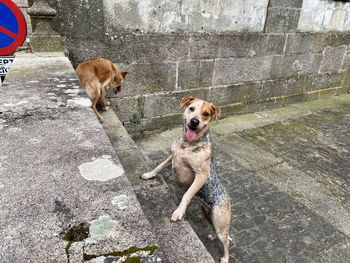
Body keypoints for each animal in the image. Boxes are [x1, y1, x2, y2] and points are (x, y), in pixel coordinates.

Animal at [141, 97, 231, 263]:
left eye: (206, 114)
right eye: (191, 108)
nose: (195, 121)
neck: (187, 145)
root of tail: (227, 198)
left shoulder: (201, 175)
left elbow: (187, 195)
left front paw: (179, 212)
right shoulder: (172, 157)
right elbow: (158, 166)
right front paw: (149, 174)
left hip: (221, 222)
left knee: (226, 241)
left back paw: (225, 258)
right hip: (207, 213)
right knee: (214, 229)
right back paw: (212, 236)